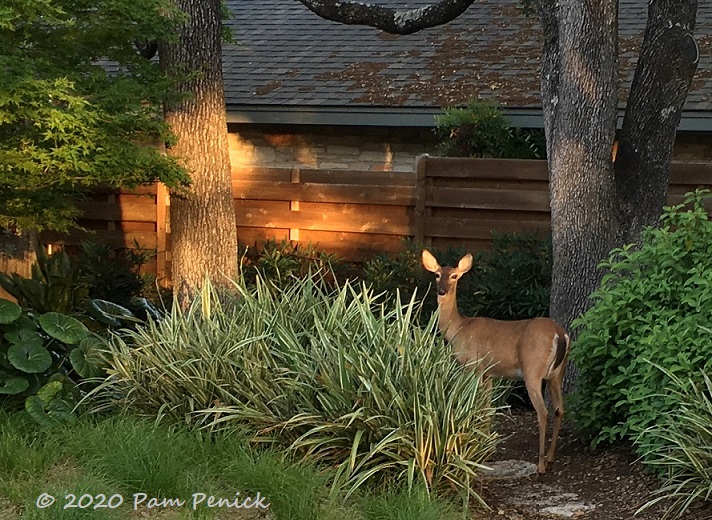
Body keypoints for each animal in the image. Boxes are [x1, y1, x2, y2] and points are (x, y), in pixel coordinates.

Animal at [422, 249, 568, 476]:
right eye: (437, 274)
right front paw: (487, 446)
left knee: (543, 411)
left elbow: (479, 406)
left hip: (532, 369)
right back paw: (551, 459)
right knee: (559, 408)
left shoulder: (473, 366)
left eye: (454, 275)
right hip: (557, 373)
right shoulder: (488, 373)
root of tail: (559, 333)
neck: (458, 329)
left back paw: (541, 465)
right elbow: (488, 406)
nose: (441, 290)